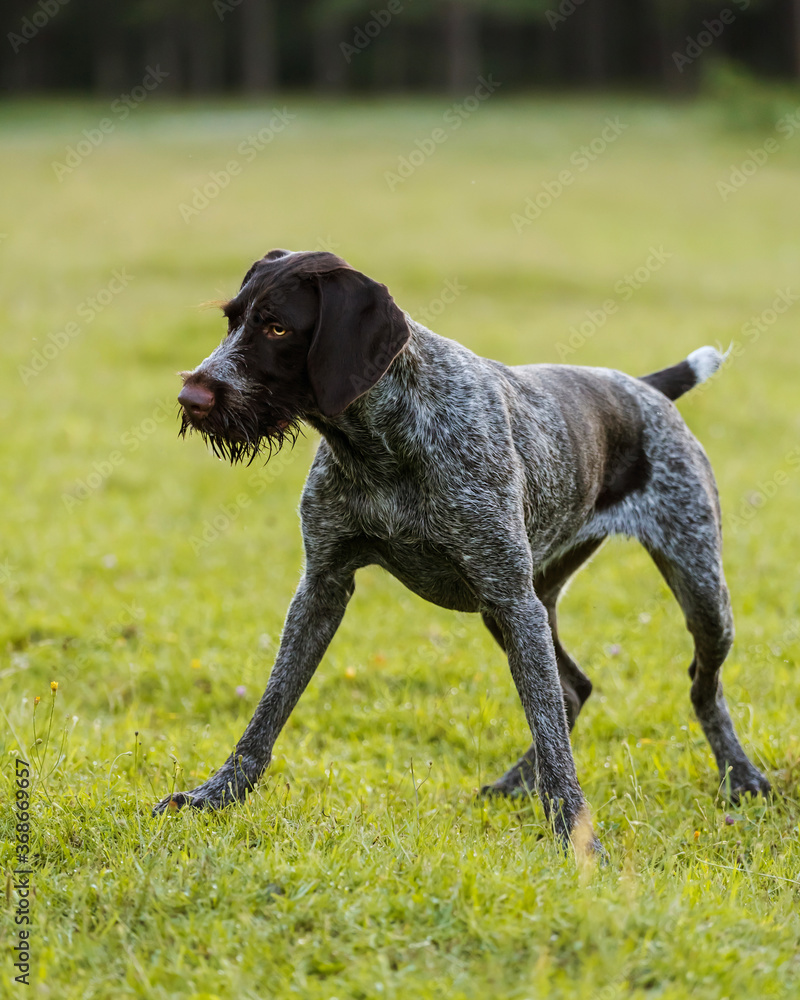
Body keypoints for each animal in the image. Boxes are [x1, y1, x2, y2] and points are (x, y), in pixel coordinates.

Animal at [153, 250, 772, 852]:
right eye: (232, 320)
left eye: (277, 327)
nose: (191, 397)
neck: (381, 440)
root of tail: (644, 387)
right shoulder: (323, 587)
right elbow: (269, 709)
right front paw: (215, 795)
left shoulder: (510, 597)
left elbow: (552, 735)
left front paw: (575, 839)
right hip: (520, 605)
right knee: (574, 689)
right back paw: (516, 783)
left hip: (692, 592)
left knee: (700, 686)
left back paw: (740, 777)